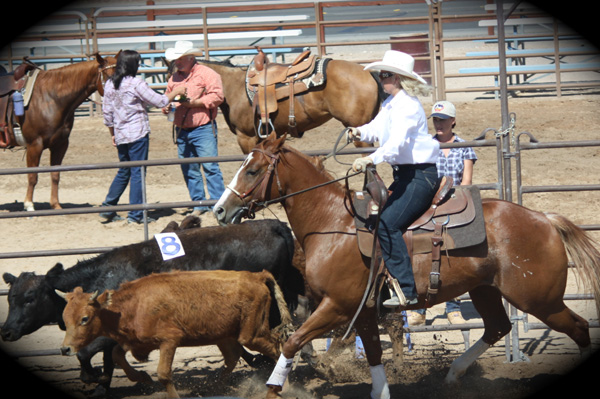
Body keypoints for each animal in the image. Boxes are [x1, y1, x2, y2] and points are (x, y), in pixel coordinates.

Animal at [6, 54, 116, 214]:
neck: (51, 98)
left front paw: (56, 205)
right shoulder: (34, 145)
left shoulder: (60, 144)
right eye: (109, 75)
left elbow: (55, 175)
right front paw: (29, 205)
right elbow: (32, 176)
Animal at [58, 270, 290, 398]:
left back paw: (281, 387)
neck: (134, 305)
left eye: (84, 319)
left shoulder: (169, 340)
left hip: (251, 334)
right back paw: (212, 387)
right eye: (65, 318)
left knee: (277, 348)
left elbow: (163, 373)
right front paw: (141, 377)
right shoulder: (136, 342)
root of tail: (256, 276)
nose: (65, 349)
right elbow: (116, 354)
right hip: (224, 335)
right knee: (232, 356)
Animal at [214, 135, 600, 399]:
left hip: (538, 299)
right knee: (498, 327)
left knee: (579, 328)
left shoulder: (338, 305)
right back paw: (453, 375)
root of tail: (544, 218)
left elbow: (292, 342)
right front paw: (381, 391)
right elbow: (371, 353)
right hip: (486, 290)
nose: (219, 210)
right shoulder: (363, 310)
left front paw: (273, 387)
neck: (334, 224)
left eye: (253, 170)